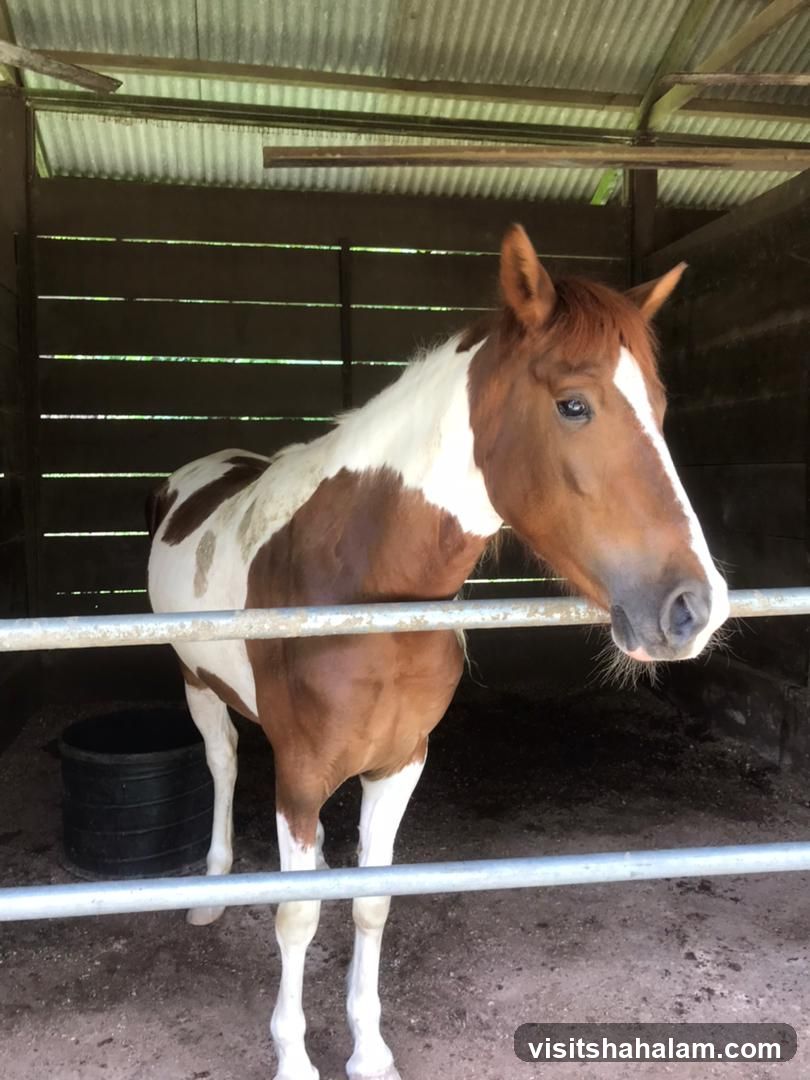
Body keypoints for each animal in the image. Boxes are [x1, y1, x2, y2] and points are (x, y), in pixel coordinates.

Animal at [147, 224, 729, 1080]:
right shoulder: (300, 773)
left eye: (656, 407)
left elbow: (371, 902)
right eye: (574, 405)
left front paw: (369, 1052)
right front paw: (294, 1057)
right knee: (221, 765)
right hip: (195, 681)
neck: (366, 586)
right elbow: (295, 915)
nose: (693, 608)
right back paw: (211, 893)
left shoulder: (401, 760)